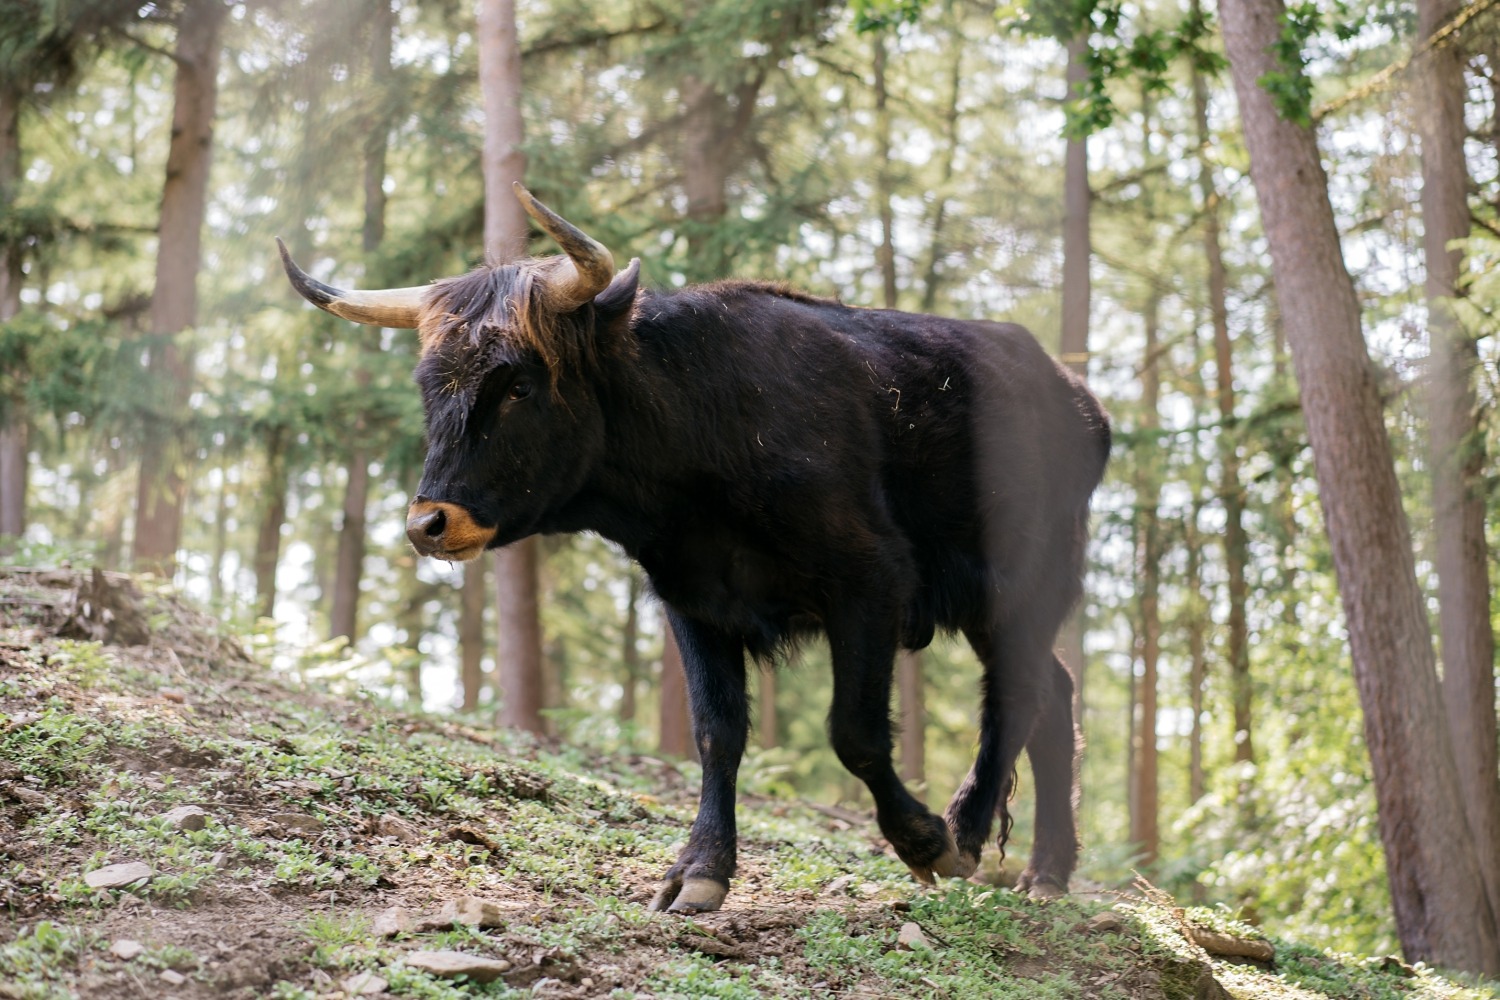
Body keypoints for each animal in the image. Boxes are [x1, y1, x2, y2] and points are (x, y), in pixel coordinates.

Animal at [276, 182, 1110, 917]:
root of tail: (1078, 401)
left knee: (1023, 693)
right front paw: (700, 871)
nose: (429, 523)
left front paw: (924, 839)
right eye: (429, 385)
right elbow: (717, 734)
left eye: (517, 385)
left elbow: (855, 732)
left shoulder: (871, 580)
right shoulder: (694, 599)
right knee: (1053, 692)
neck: (706, 425)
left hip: (1024, 582)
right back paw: (1047, 873)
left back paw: (972, 829)